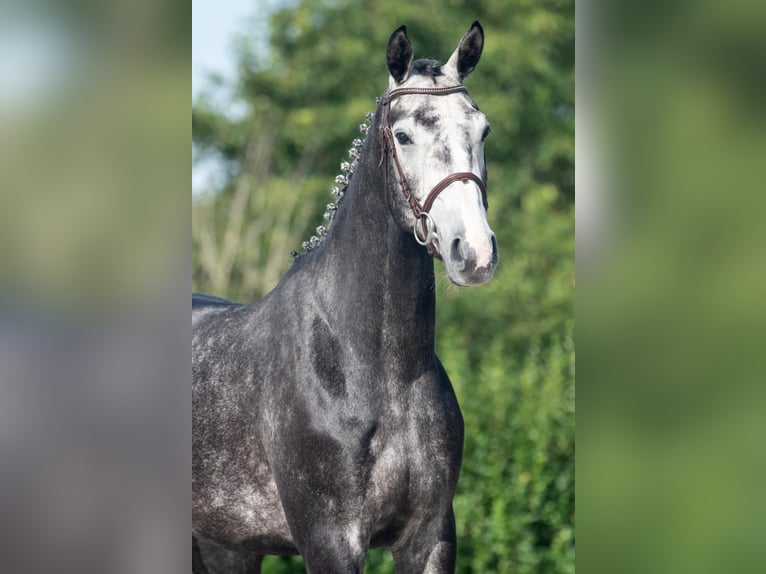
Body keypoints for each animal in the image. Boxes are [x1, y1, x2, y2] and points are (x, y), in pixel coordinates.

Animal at [194, 20, 498, 572]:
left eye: (482, 130)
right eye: (403, 135)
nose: (475, 253)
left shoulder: (430, 536)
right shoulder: (329, 541)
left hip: (227, 549)